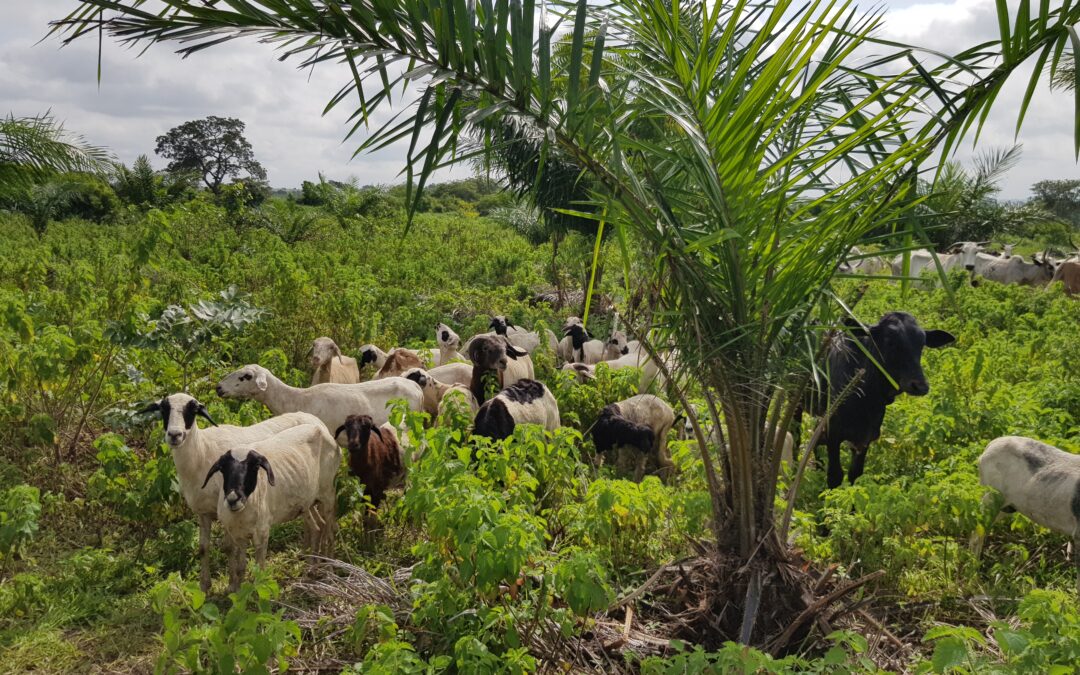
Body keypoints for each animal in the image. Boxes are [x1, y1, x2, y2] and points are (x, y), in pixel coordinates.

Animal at [136, 393, 319, 591]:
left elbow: (228, 548)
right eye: (163, 409)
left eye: (192, 410)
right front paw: (204, 584)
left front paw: (232, 584)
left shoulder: (226, 511)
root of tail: (312, 417)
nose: (175, 435)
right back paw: (308, 552)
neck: (201, 453)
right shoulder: (203, 512)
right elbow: (203, 547)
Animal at [201, 423, 336, 591]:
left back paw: (329, 571)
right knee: (317, 528)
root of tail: (319, 427)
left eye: (253, 468)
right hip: (307, 503)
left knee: (329, 535)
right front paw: (237, 591)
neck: (243, 511)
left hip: (328, 494)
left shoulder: (262, 534)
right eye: (224, 469)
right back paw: (310, 571)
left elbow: (260, 570)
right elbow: (240, 567)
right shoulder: (239, 535)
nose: (233, 499)